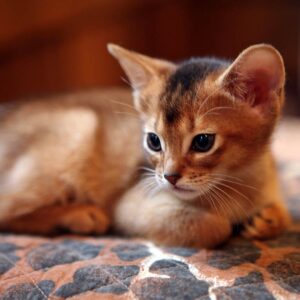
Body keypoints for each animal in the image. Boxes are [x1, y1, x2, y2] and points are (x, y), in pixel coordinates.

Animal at [0, 43, 292, 247]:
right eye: (154, 141)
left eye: (203, 142)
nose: (170, 177)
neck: (239, 182)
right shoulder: (131, 205)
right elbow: (215, 228)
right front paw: (229, 224)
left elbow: (282, 216)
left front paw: (264, 220)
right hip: (78, 127)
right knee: (6, 209)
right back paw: (81, 215)